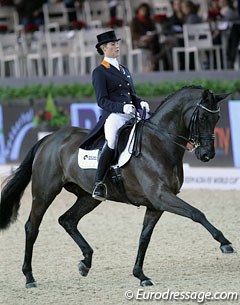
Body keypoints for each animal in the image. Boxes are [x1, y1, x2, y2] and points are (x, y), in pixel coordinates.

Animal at [0, 85, 235, 288]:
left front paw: (140, 275)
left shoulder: (156, 204)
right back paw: (29, 277)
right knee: (32, 227)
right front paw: (225, 243)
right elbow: (196, 213)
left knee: (67, 220)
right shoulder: (161, 196)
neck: (159, 144)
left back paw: (85, 263)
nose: (207, 155)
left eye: (217, 118)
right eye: (203, 117)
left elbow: (144, 237)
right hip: (44, 192)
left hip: (89, 197)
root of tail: (49, 138)